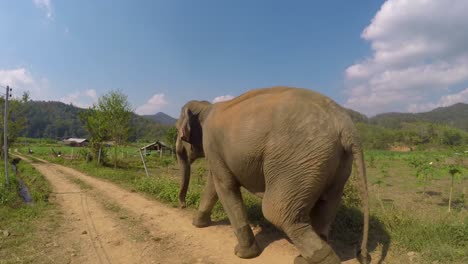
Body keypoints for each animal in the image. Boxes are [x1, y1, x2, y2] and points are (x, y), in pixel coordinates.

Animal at [176, 87, 370, 264]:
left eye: (179, 132)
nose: (183, 206)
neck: (205, 106)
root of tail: (346, 126)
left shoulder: (211, 143)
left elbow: (224, 185)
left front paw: (242, 254)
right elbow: (214, 184)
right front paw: (197, 224)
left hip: (297, 159)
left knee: (277, 212)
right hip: (335, 164)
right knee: (326, 206)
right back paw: (307, 257)